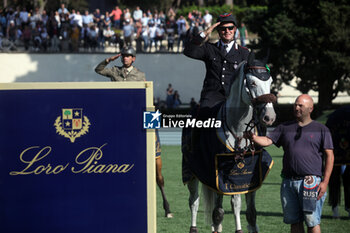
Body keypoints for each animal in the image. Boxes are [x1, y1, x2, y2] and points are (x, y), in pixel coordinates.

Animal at [182, 53, 278, 233]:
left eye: (270, 82)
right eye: (252, 82)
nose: (269, 117)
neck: (238, 128)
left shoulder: (251, 174)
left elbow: (250, 211)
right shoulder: (222, 175)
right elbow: (230, 206)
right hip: (191, 172)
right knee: (194, 202)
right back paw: (193, 227)